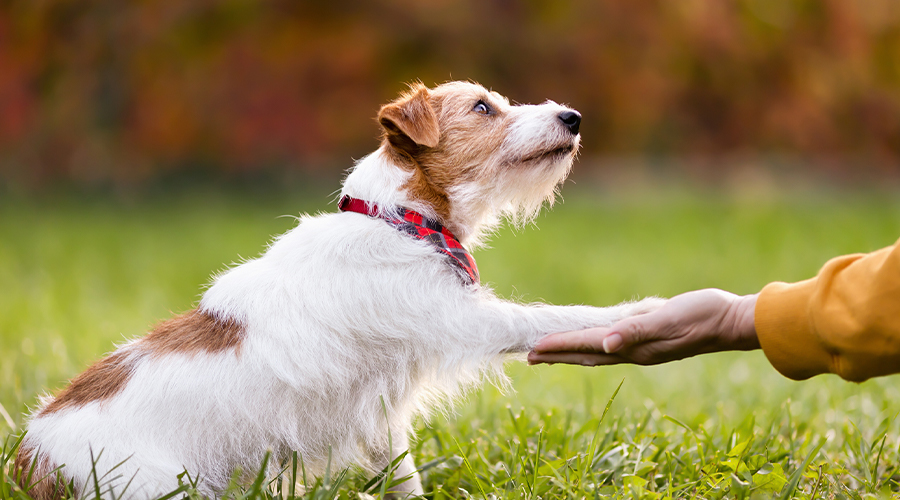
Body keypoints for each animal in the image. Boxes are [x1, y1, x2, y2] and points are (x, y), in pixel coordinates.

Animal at [12, 80, 660, 498]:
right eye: (483, 108)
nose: (572, 117)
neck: (399, 220)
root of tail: (32, 459)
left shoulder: (382, 417)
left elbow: (403, 476)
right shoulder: (462, 320)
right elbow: (548, 315)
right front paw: (640, 308)